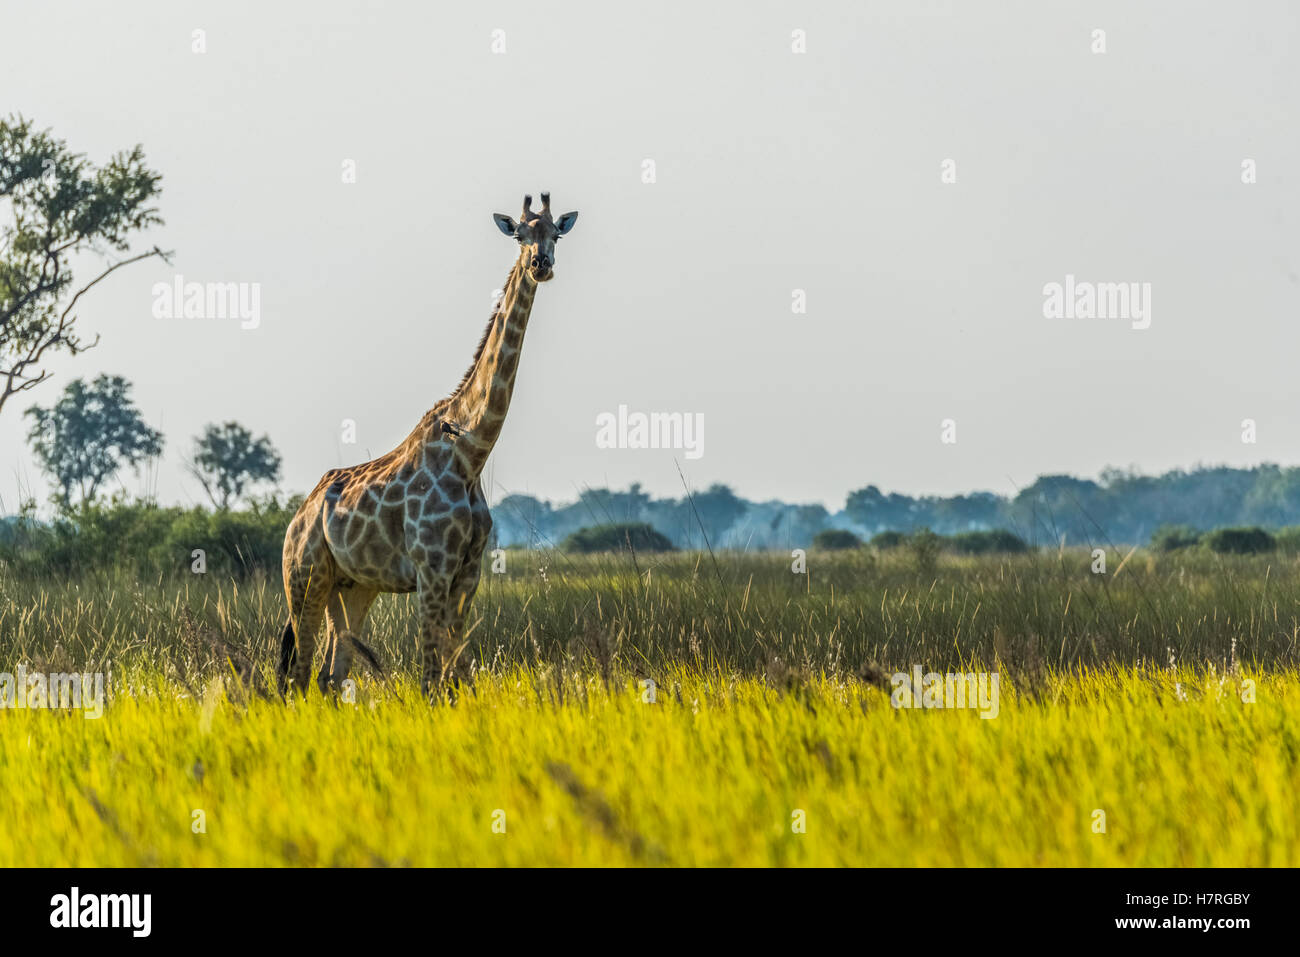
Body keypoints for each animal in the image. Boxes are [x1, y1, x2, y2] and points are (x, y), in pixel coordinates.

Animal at [278, 192, 579, 702]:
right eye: (520, 235)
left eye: (555, 233)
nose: (541, 264)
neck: (471, 453)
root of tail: (299, 516)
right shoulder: (431, 569)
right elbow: (431, 677)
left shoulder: (467, 573)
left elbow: (459, 674)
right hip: (304, 577)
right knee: (299, 674)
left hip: (352, 587)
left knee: (330, 675)